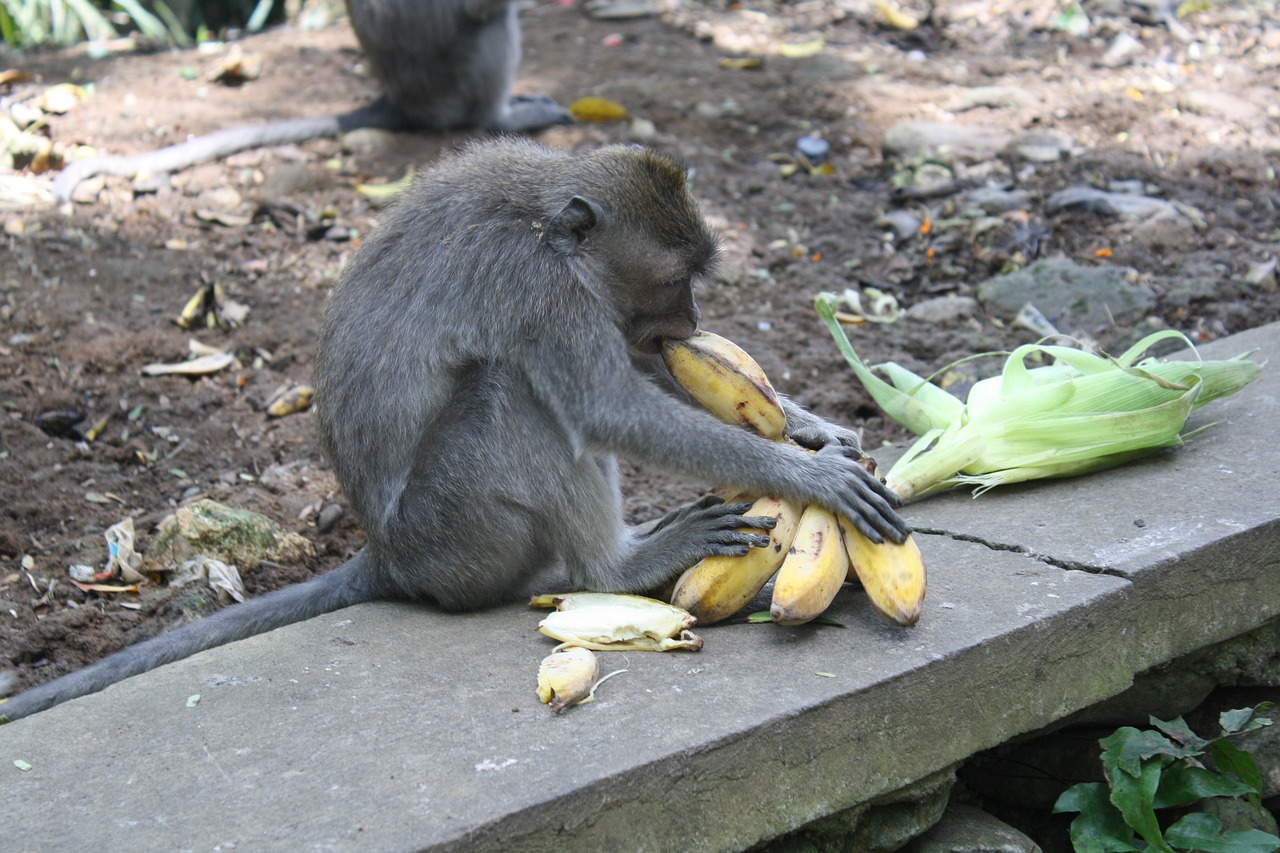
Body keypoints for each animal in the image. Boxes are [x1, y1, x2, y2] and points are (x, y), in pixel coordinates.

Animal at [0, 137, 911, 717]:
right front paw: (806, 474)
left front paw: (813, 430)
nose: (691, 321)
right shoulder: (537, 289)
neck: (550, 227)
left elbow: (637, 372)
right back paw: (619, 564)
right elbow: (605, 404)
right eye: (674, 278)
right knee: (514, 391)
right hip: (457, 533)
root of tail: (389, 558)